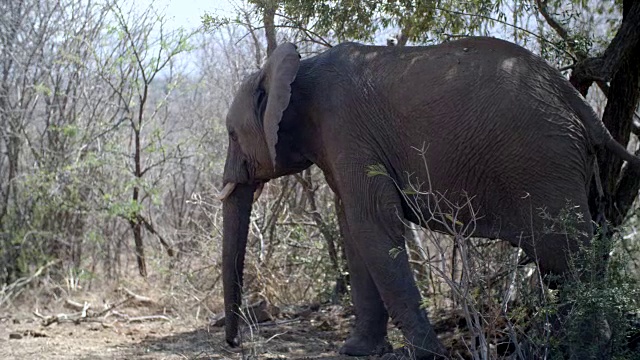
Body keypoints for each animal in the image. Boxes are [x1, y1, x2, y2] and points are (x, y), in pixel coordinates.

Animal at [219, 38, 640, 358]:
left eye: (231, 135)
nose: (234, 342)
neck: (295, 70)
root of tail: (578, 103)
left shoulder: (346, 130)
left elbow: (373, 226)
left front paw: (426, 355)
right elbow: (355, 232)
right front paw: (358, 351)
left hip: (544, 162)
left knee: (565, 257)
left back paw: (585, 347)